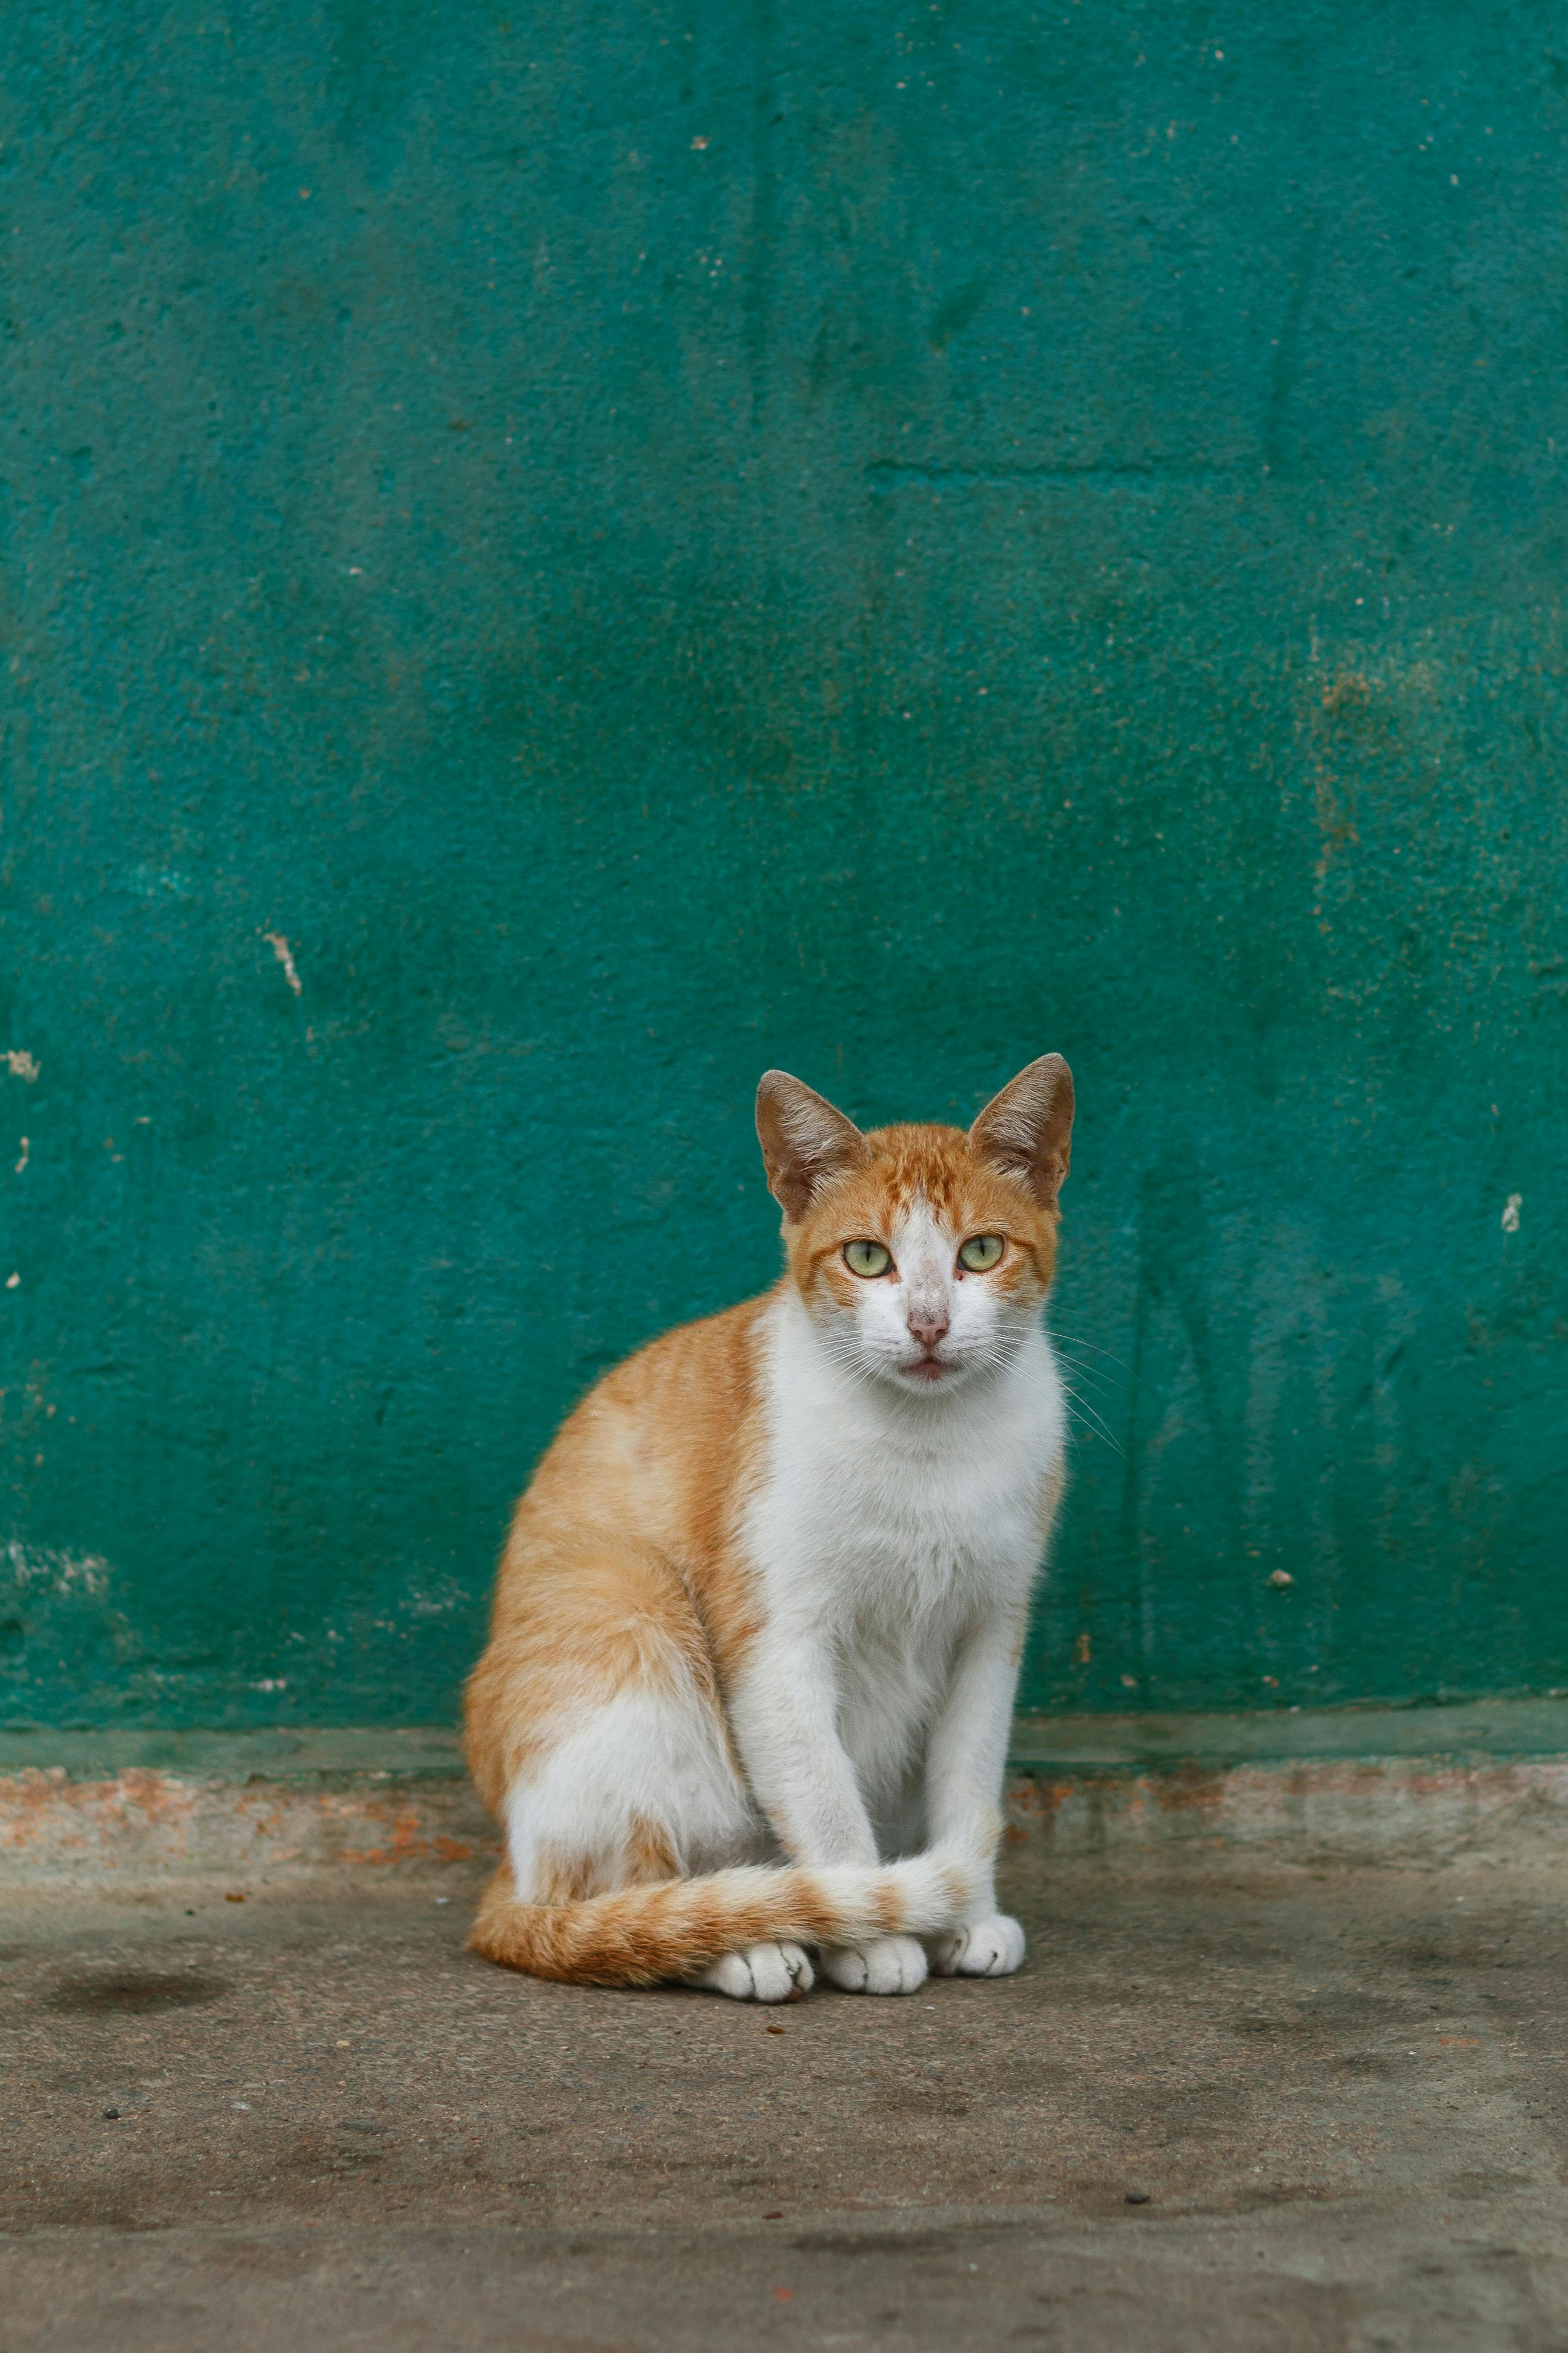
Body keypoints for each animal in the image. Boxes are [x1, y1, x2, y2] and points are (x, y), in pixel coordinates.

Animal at [463, 1059, 1081, 1995]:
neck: (926, 1447)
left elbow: (968, 1777)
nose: (928, 1323)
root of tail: (507, 1870)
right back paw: (741, 1939)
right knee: (617, 1901)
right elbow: (823, 1801)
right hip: (628, 1613)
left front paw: (966, 1913)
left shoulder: (989, 1629)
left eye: (980, 1251)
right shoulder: (775, 1638)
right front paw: (873, 1929)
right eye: (867, 1257)